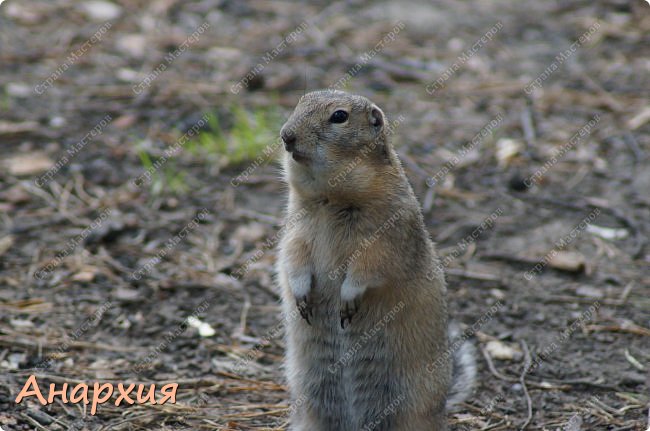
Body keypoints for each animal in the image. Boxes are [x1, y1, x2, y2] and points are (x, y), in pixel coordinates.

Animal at [274, 89, 476, 430]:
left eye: (339, 116)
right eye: (300, 102)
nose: (286, 135)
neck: (330, 199)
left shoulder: (385, 236)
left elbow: (369, 267)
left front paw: (347, 299)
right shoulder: (296, 229)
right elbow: (292, 258)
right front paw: (302, 296)